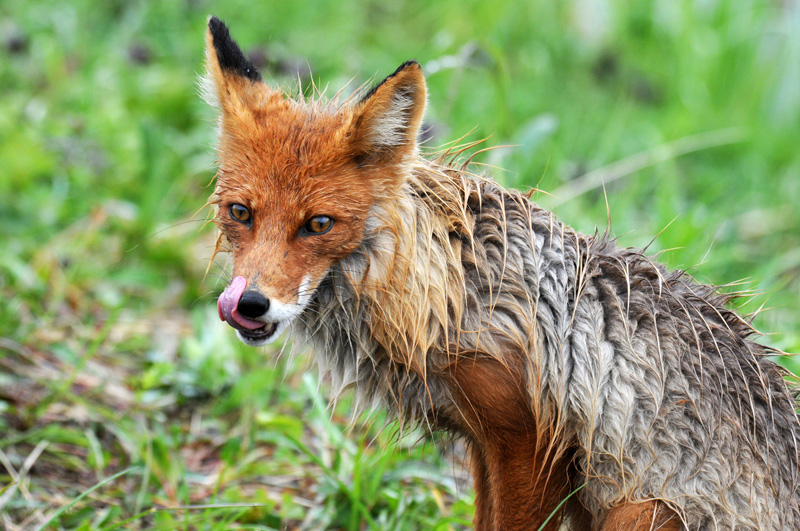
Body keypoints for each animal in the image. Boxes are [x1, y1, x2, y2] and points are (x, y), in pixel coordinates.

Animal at [200, 16, 800, 531]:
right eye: (240, 213)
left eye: (319, 224)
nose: (249, 304)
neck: (448, 292)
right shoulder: (483, 443)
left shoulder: (531, 443)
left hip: (641, 513)